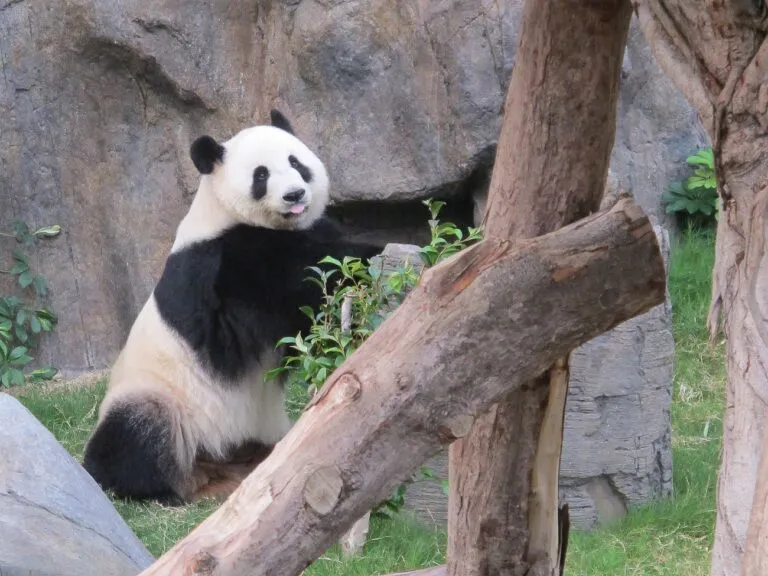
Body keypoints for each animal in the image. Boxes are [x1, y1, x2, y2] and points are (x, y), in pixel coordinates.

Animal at [82, 110, 382, 505]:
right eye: (261, 175)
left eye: (295, 162)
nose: (295, 195)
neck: (223, 212)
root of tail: (212, 469)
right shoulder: (224, 263)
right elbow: (294, 282)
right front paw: (377, 252)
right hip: (163, 398)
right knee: (135, 432)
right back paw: (153, 488)